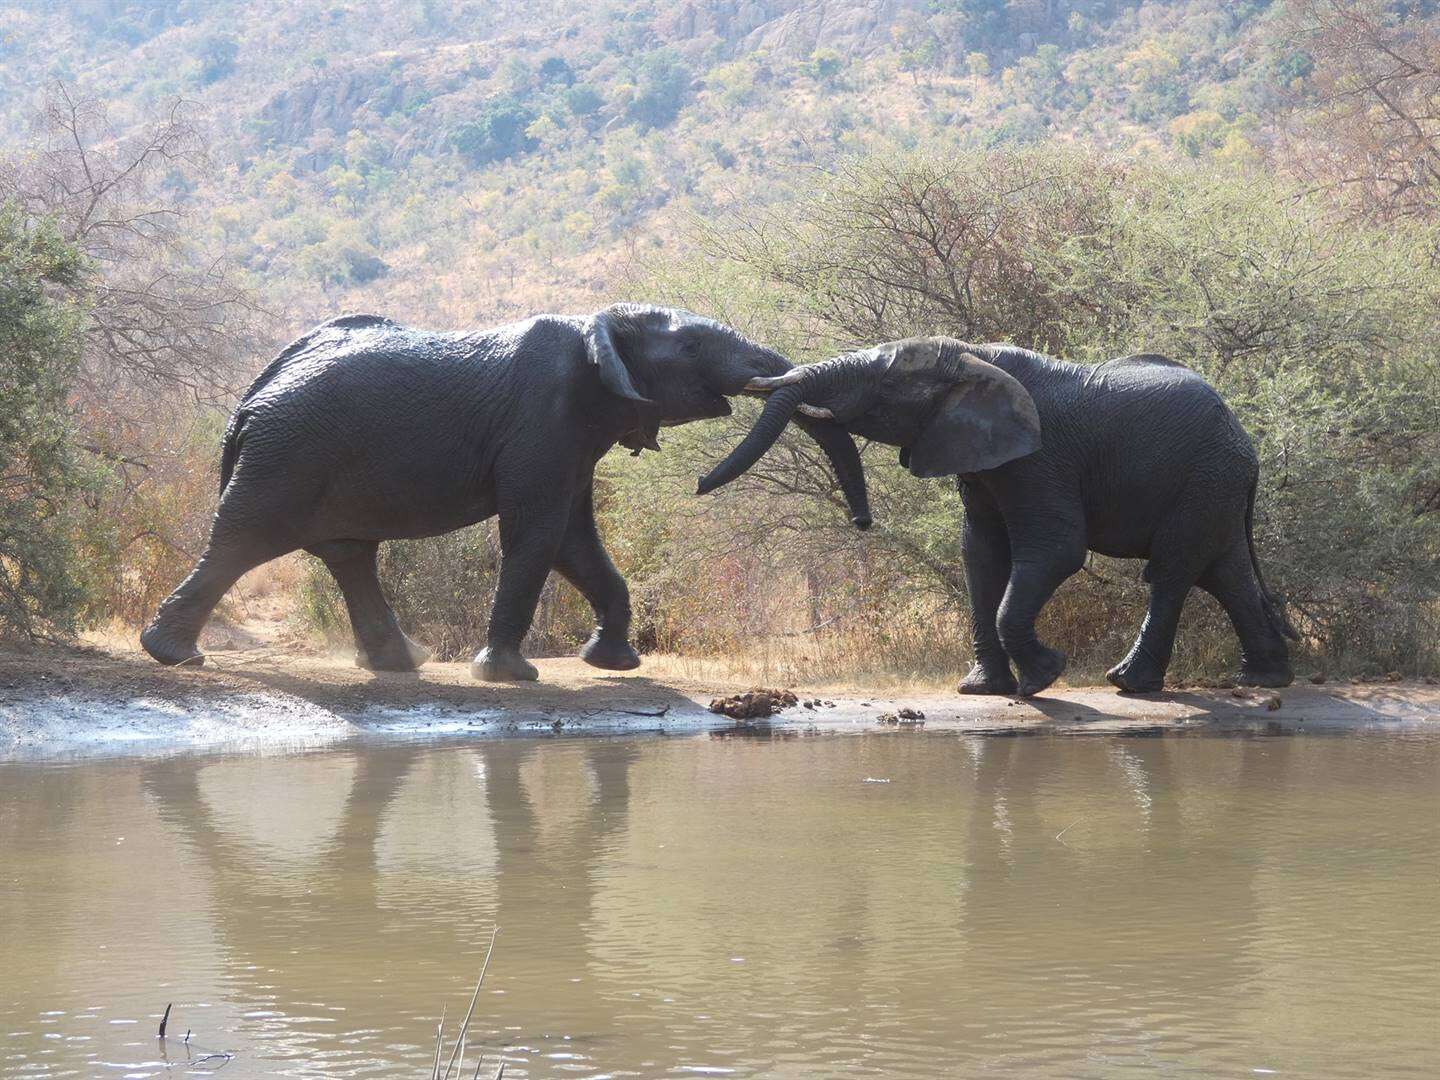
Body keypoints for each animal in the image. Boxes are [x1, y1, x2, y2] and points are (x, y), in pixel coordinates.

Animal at [143, 305, 864, 679]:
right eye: (690, 347)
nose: (863, 525)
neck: (596, 324)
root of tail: (249, 399)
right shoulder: (543, 421)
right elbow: (537, 532)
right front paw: (510, 676)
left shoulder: (574, 436)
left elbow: (573, 538)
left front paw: (615, 664)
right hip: (287, 455)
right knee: (244, 539)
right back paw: (173, 655)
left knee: (349, 554)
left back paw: (402, 664)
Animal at [702, 336, 1301, 694]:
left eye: (886, 386)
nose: (862, 523)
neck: (970, 357)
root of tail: (1245, 441)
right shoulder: (980, 457)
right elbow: (981, 553)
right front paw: (983, 688)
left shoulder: (1041, 458)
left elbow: (1056, 548)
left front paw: (1044, 677)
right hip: (1215, 484)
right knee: (1224, 571)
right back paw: (1264, 679)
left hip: (1206, 476)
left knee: (1174, 571)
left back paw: (1130, 682)